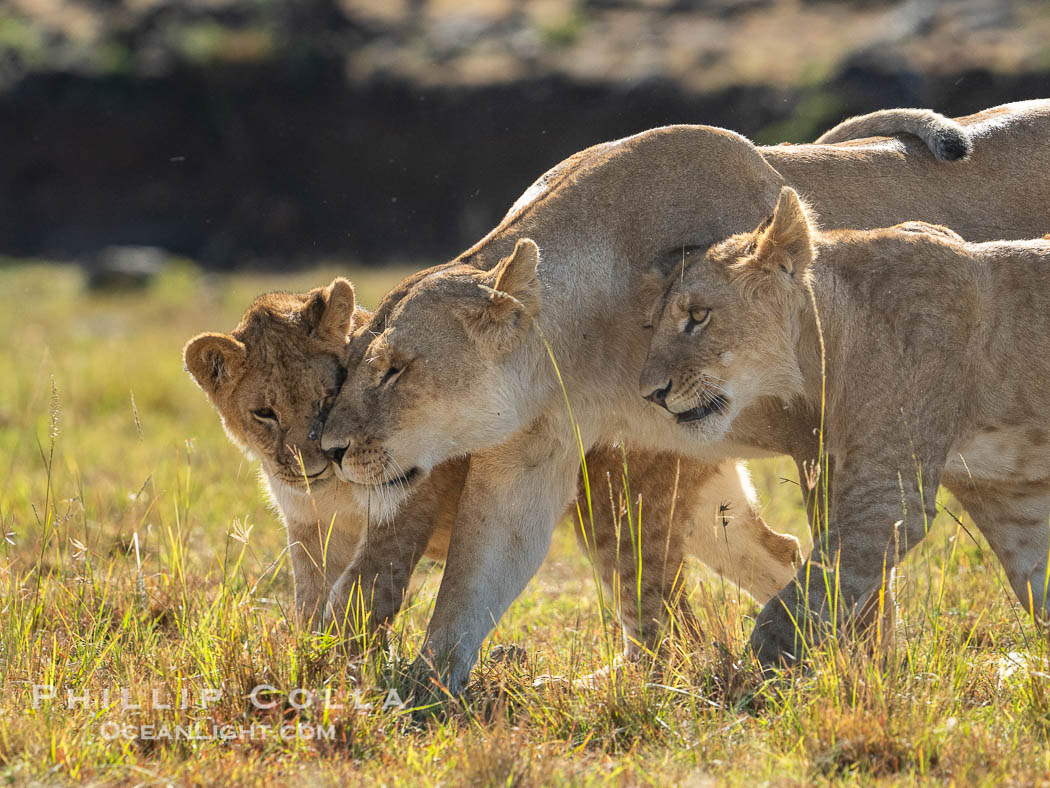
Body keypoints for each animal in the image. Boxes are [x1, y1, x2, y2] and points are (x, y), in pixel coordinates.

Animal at [184, 281, 797, 655]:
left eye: (330, 393)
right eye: (264, 413)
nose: (315, 460)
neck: (330, 493)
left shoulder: (408, 500)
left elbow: (367, 588)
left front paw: (333, 670)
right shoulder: (309, 529)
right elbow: (312, 601)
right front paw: (311, 656)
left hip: (615, 510)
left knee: (667, 624)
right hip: (704, 513)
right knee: (779, 553)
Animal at [638, 188, 1050, 668]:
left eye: (699, 315)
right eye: (651, 325)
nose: (650, 394)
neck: (826, 348)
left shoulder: (888, 495)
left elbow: (806, 596)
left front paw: (748, 677)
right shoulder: (1010, 500)